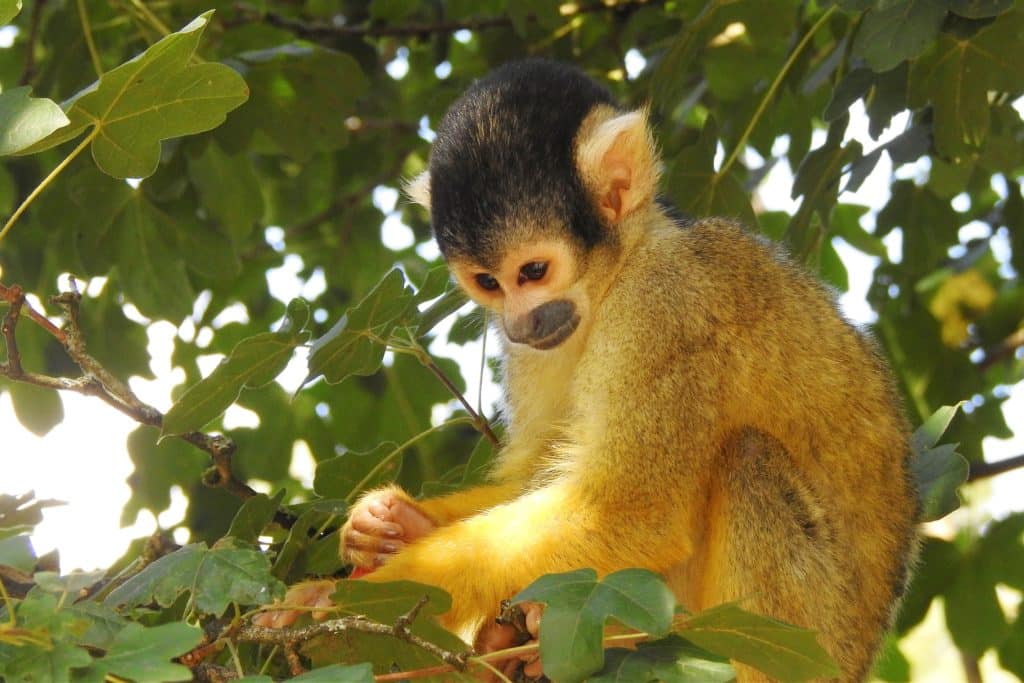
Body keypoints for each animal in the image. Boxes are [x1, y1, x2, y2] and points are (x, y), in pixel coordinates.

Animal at [258, 61, 921, 679]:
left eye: (533, 271)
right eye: (488, 283)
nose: (521, 323)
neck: (616, 274)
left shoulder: (668, 306)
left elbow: (631, 514)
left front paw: (347, 597)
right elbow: (535, 474)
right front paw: (389, 523)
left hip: (815, 639)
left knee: (749, 459)